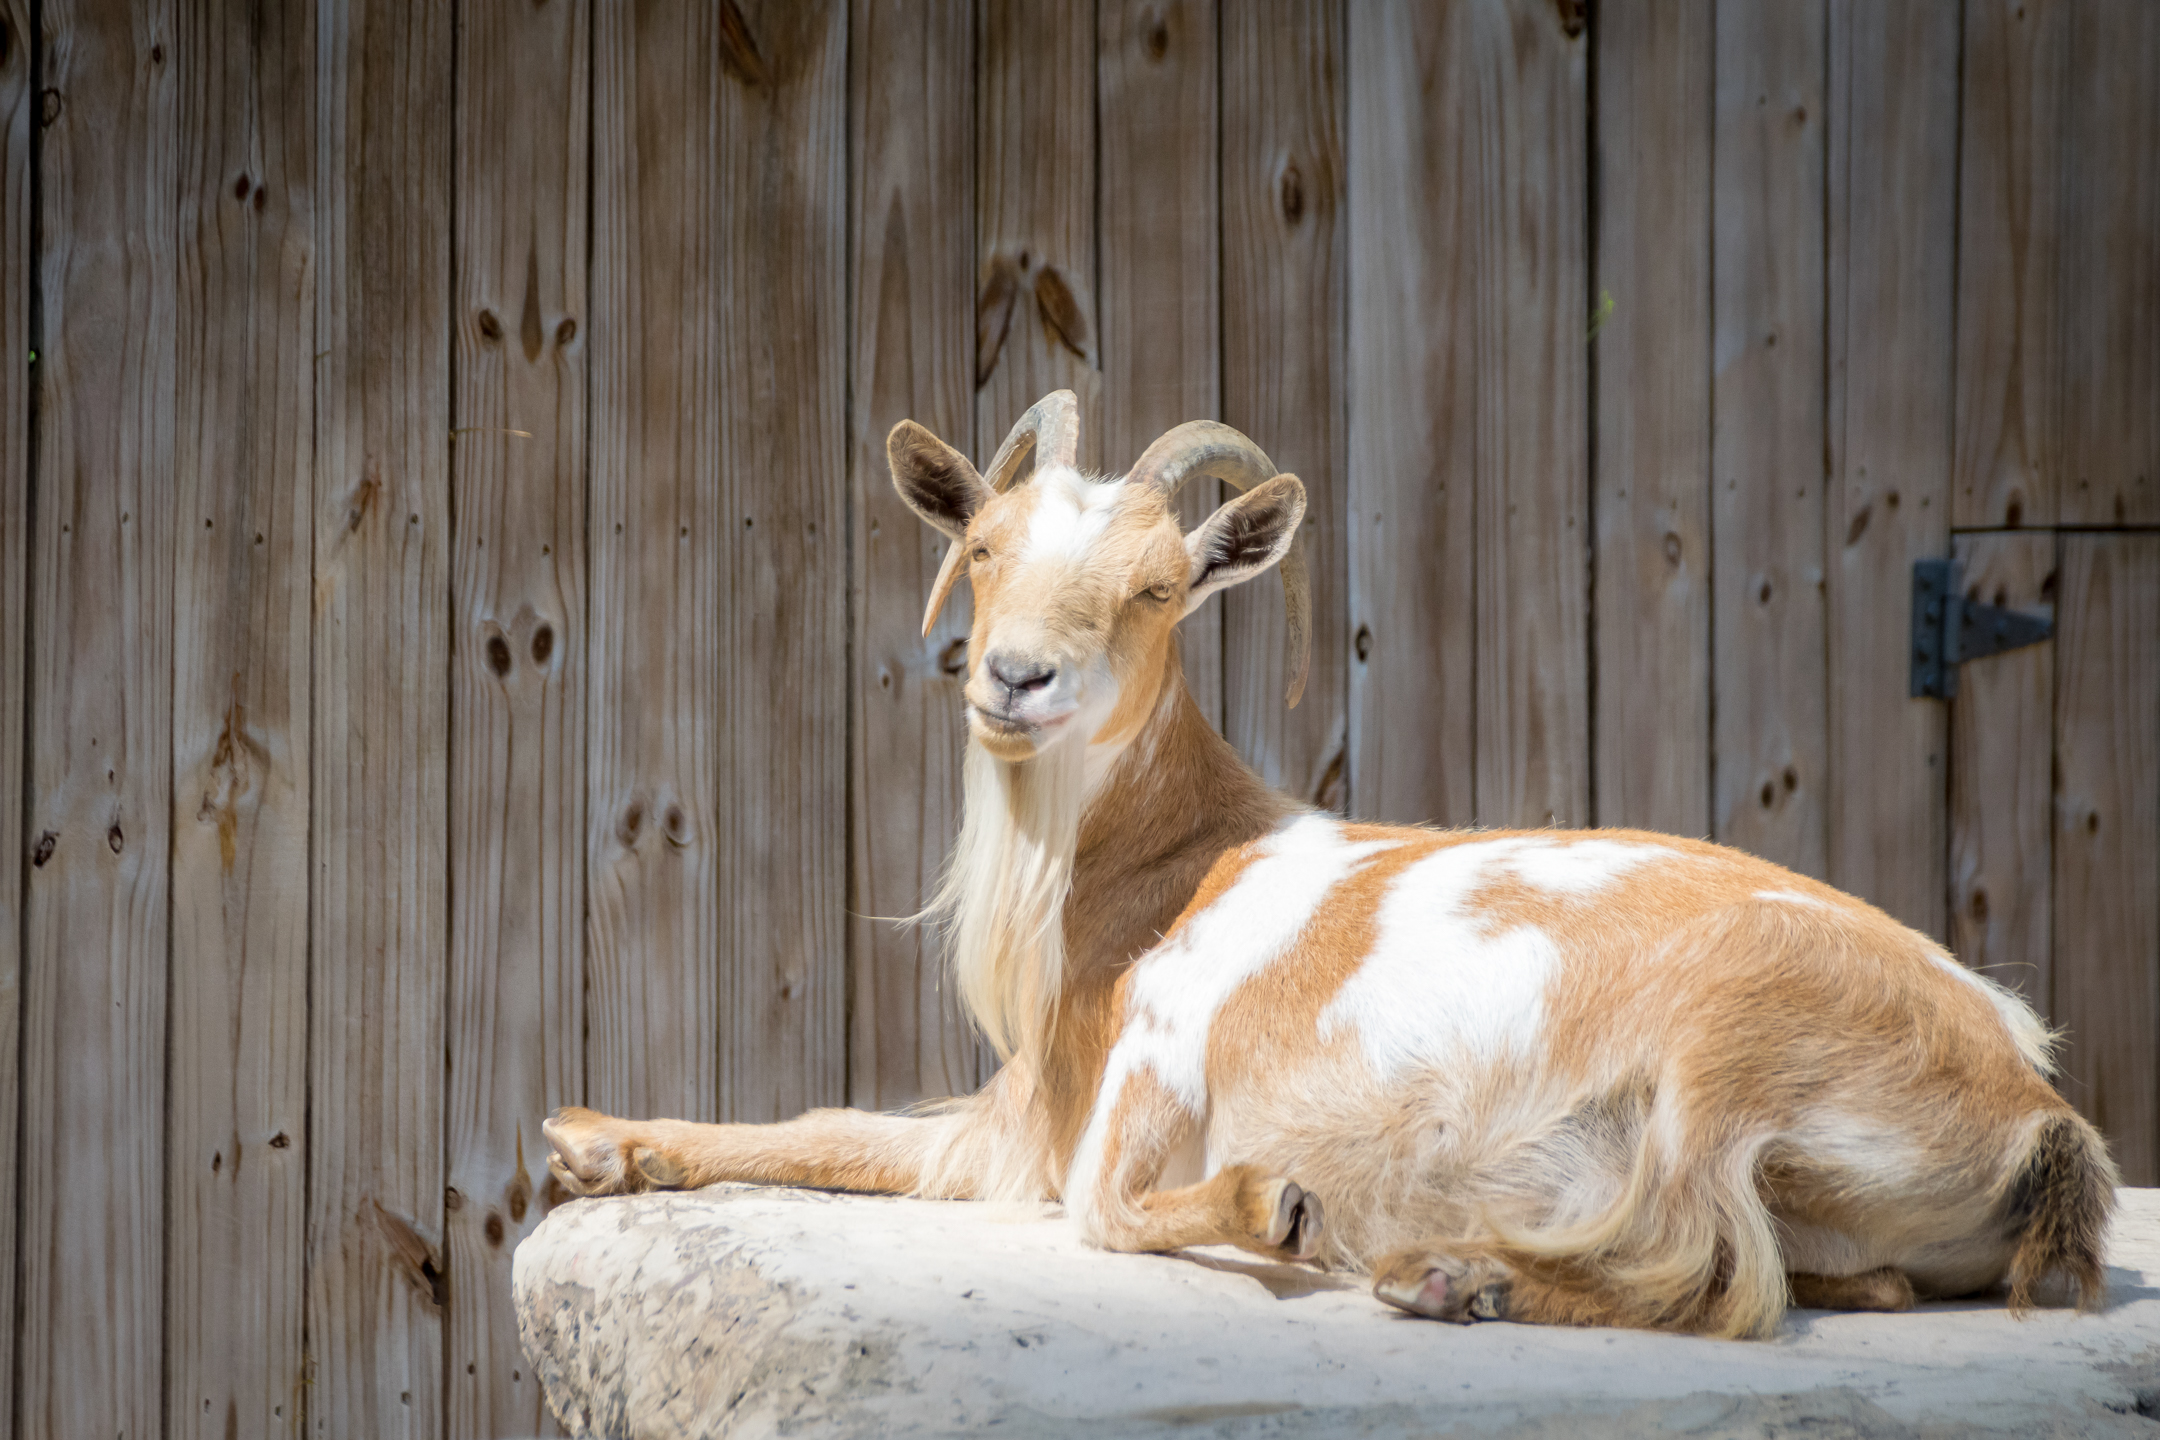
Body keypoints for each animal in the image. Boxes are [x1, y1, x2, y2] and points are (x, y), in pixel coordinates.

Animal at [545, 391, 2115, 1336]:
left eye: (1158, 586)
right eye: (982, 546)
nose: (1014, 678)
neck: (1169, 871)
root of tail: (2035, 1104)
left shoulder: (1141, 1085)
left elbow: (1111, 1213)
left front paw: (1277, 1207)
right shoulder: (1014, 1124)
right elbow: (830, 1127)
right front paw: (589, 1142)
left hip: (1724, 1046)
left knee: (1708, 1270)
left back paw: (1445, 1276)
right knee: (1842, 1278)